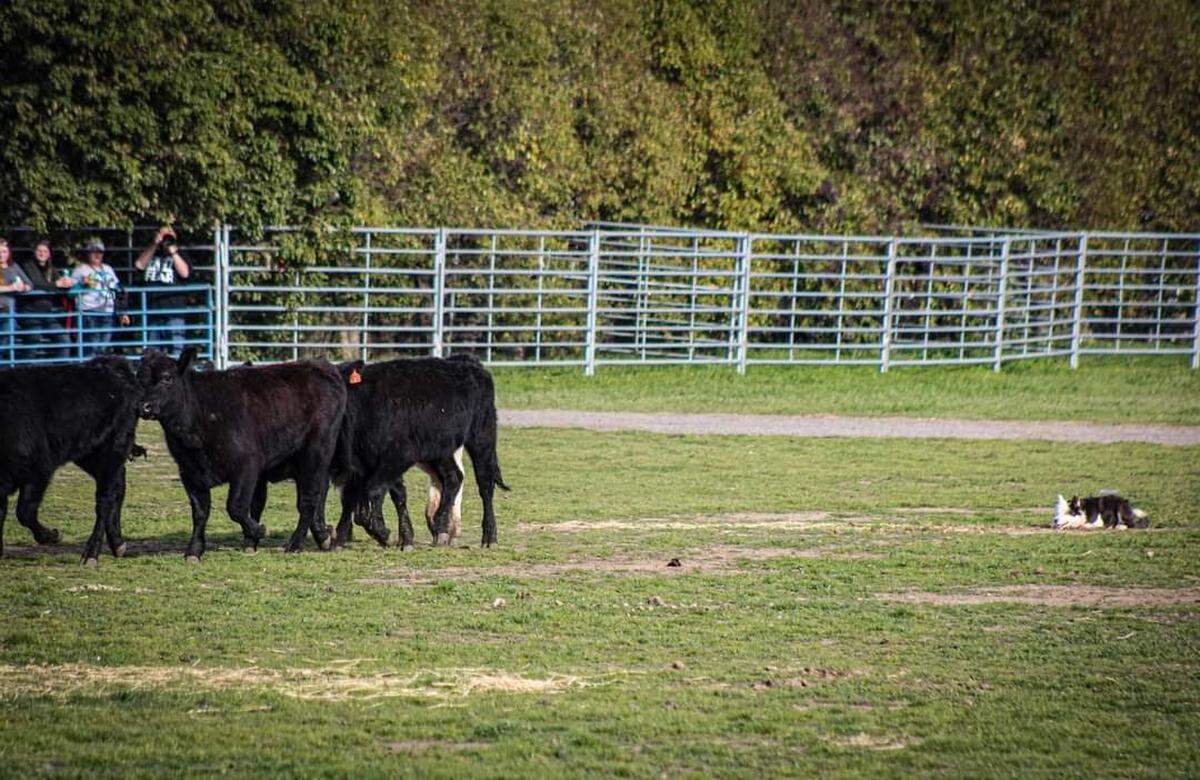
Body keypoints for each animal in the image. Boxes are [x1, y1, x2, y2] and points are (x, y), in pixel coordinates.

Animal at [0, 357, 141, 564]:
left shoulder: (40, 470)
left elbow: (25, 511)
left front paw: (51, 536)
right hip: (90, 453)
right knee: (118, 486)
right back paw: (117, 544)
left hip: (114, 447)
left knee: (105, 499)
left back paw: (91, 553)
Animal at [137, 348, 346, 560]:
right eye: (140, 379)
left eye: (167, 378)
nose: (144, 407)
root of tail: (319, 366)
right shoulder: (189, 471)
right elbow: (200, 512)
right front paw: (194, 550)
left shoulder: (246, 466)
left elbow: (235, 507)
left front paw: (260, 530)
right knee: (317, 494)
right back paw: (323, 536)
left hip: (315, 453)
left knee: (308, 499)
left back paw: (295, 544)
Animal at [333, 355, 509, 549]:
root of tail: (468, 362)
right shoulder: (366, 466)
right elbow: (374, 499)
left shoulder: (398, 456)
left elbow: (375, 491)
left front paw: (383, 533)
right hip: (440, 449)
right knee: (453, 477)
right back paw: (440, 527)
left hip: (482, 436)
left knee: (485, 484)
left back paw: (489, 537)